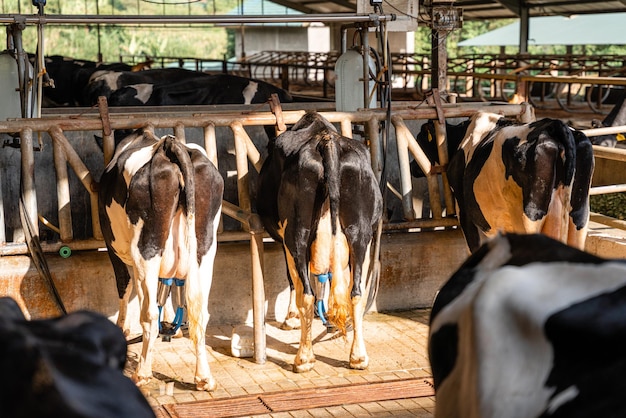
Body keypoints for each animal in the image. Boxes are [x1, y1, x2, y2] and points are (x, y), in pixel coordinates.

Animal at [97, 129, 224, 390]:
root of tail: (169, 146)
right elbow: (164, 288)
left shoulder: (113, 248)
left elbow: (125, 286)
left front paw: (122, 329)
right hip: (205, 247)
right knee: (199, 312)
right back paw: (204, 377)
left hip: (147, 247)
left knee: (148, 314)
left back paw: (143, 372)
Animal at [256, 111, 382, 372]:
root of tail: (327, 140)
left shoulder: (285, 239)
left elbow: (293, 279)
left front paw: (291, 318)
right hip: (360, 233)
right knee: (356, 292)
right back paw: (358, 356)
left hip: (296, 233)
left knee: (305, 292)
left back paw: (304, 357)